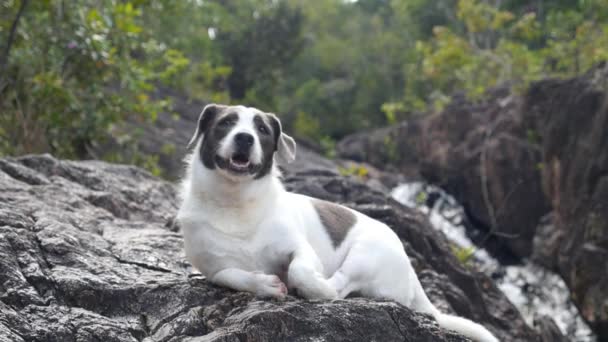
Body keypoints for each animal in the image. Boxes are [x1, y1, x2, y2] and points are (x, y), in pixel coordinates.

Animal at [176, 104, 498, 342]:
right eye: (226, 123)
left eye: (262, 129)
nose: (245, 137)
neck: (236, 203)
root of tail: (411, 273)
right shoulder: (213, 269)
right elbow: (234, 274)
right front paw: (265, 284)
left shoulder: (301, 251)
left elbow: (301, 269)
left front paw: (300, 282)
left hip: (366, 254)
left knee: (339, 287)